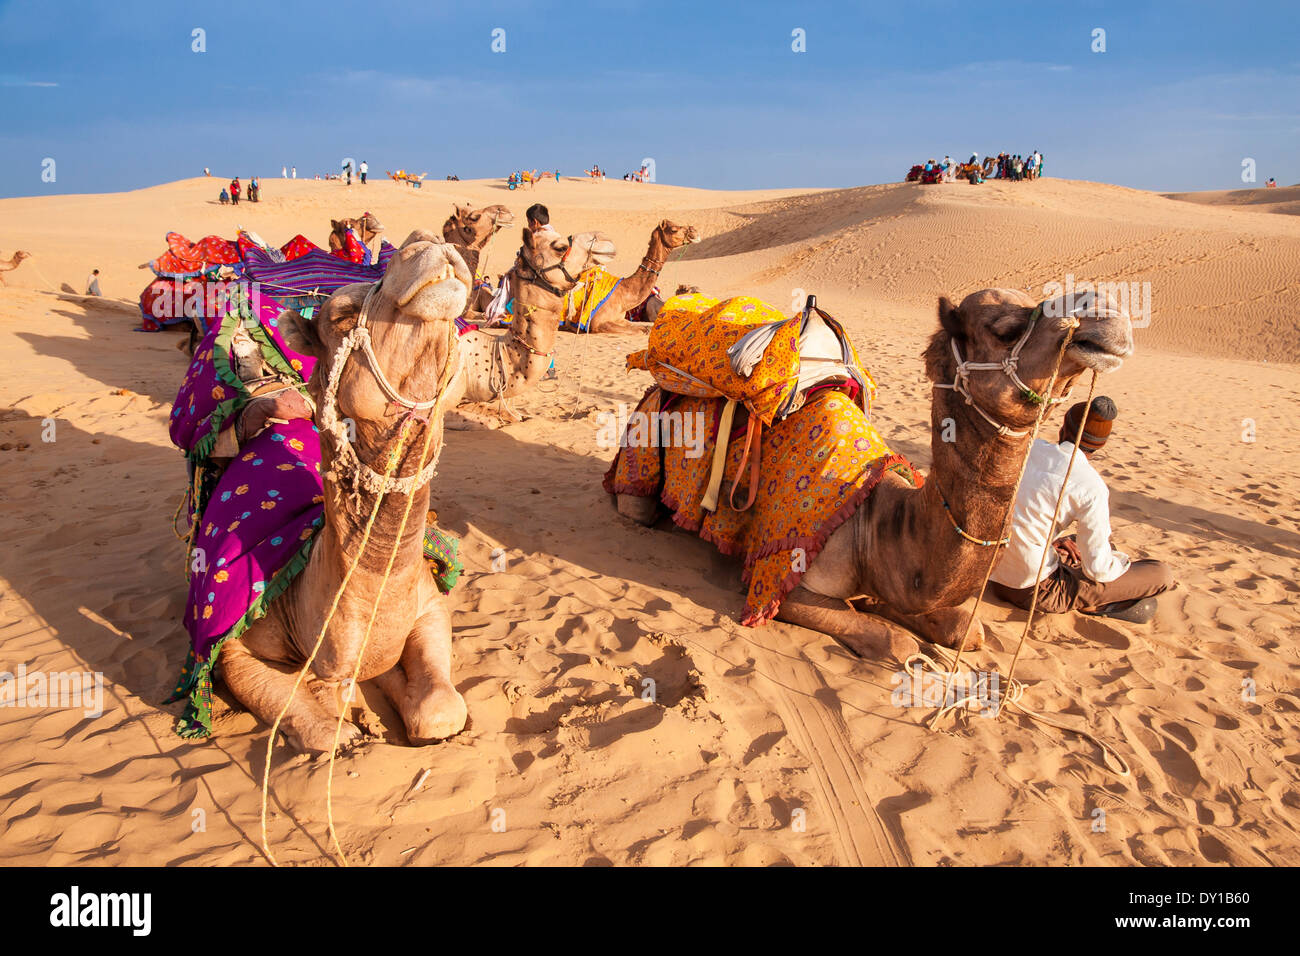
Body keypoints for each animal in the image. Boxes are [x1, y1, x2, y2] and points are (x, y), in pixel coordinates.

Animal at [217, 234, 473, 754]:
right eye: (339, 314)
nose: (427, 242)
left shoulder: (430, 607)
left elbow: (441, 710)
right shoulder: (232, 648)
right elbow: (317, 726)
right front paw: (345, 721)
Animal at [559, 221, 702, 335]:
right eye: (674, 229)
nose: (695, 231)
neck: (624, 294)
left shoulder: (622, 319)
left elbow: (645, 328)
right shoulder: (595, 323)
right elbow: (641, 330)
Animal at [613, 283, 1133, 658]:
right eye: (1005, 327)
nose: (1107, 313)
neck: (875, 525)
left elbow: (968, 630)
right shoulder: (779, 578)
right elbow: (898, 644)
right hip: (642, 445)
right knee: (639, 506)